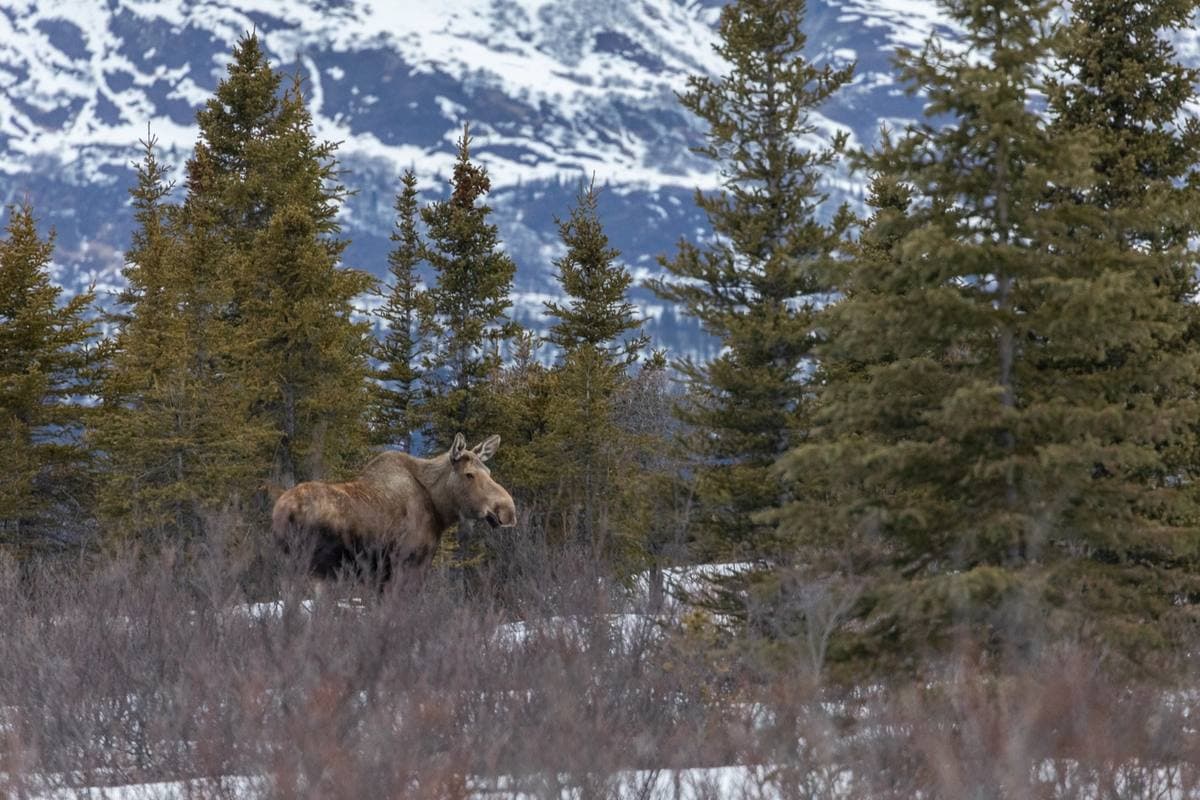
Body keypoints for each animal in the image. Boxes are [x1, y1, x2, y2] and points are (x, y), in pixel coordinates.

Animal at [271, 433, 516, 590]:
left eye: (488, 471)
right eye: (469, 474)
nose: (507, 510)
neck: (440, 509)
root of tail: (284, 513)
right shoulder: (409, 564)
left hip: (287, 568)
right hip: (320, 572)